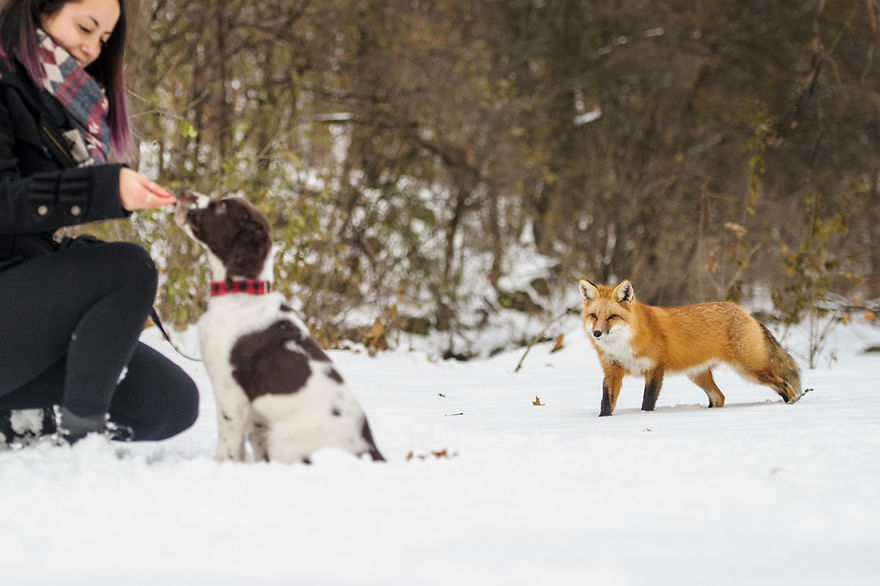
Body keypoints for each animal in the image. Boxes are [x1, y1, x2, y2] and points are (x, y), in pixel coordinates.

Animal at [578, 279, 802, 416]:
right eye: (594, 316)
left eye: (612, 316)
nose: (597, 333)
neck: (621, 346)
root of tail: (745, 311)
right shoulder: (612, 371)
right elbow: (606, 402)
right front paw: (604, 420)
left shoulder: (655, 369)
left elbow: (647, 401)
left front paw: (645, 417)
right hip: (698, 376)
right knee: (719, 397)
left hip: (751, 370)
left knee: (784, 384)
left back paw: (793, 405)